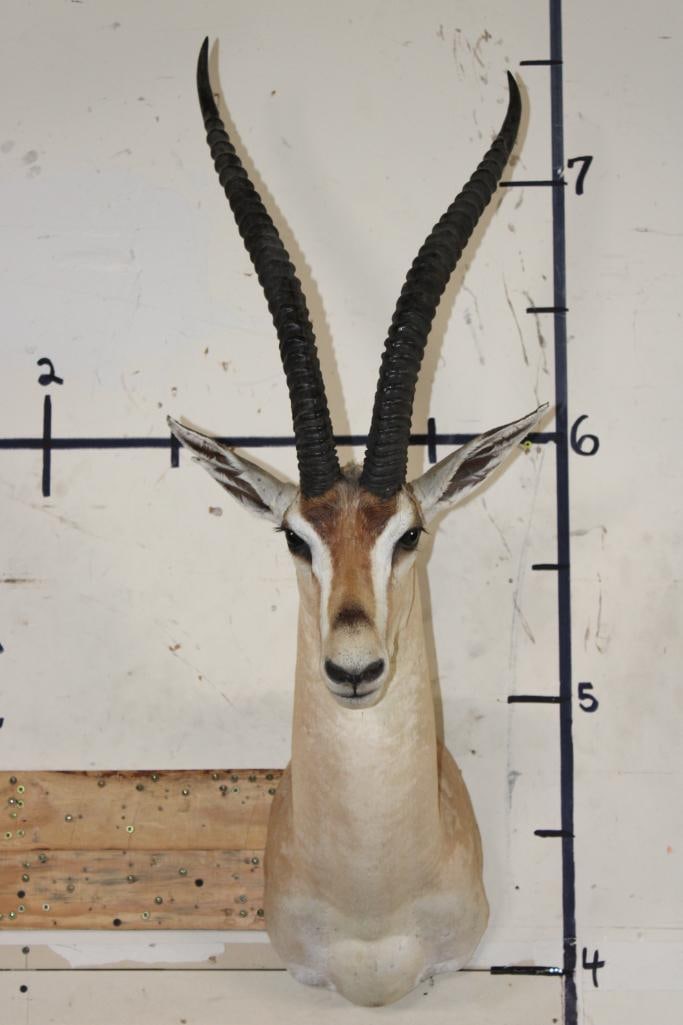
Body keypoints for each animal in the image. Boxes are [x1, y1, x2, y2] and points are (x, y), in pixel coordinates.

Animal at [169, 39, 545, 1007]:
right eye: (294, 537)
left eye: (405, 533)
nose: (354, 668)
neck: (373, 899)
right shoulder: (303, 973)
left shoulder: (443, 970)